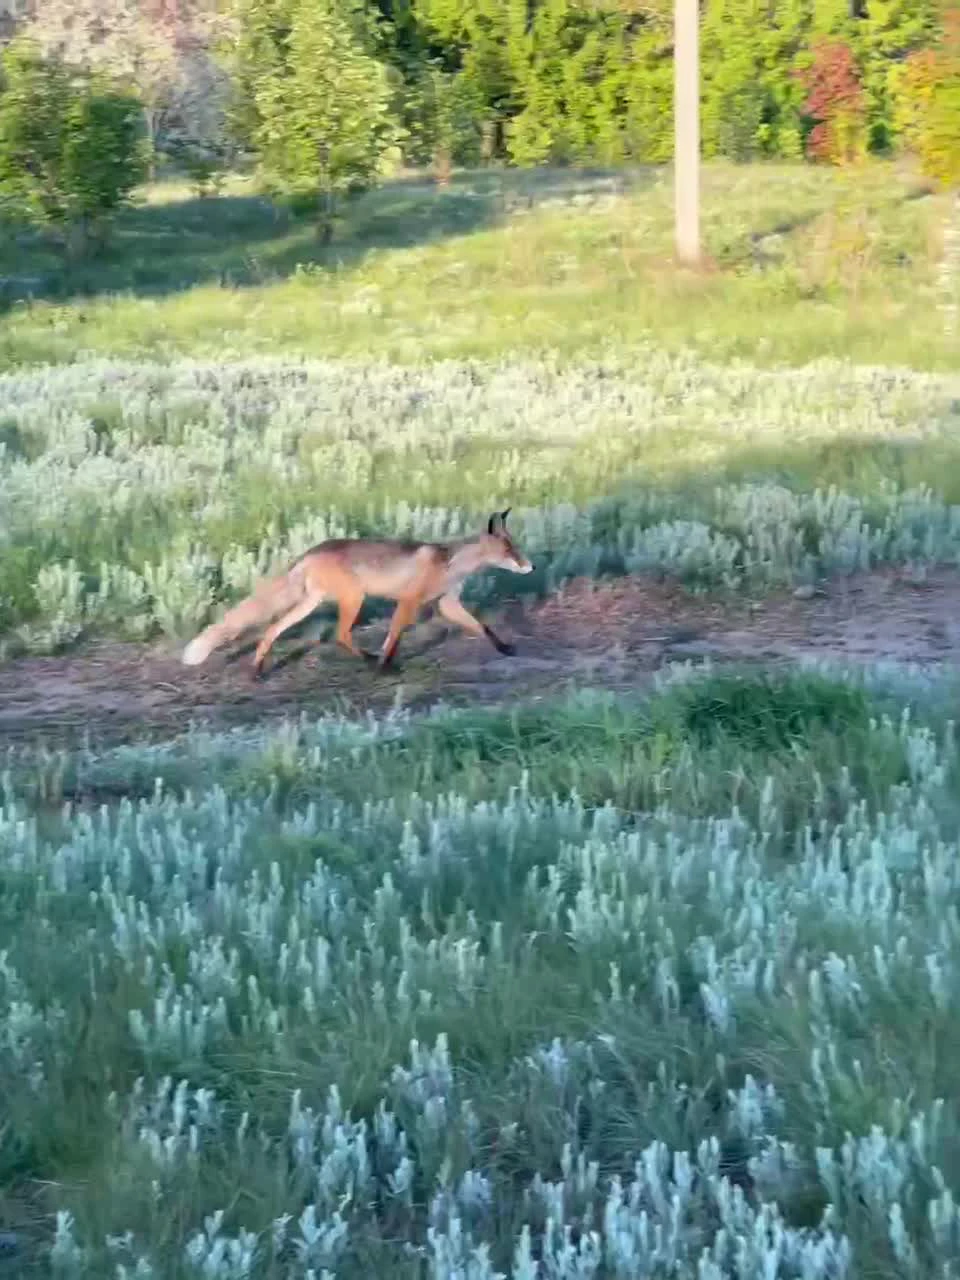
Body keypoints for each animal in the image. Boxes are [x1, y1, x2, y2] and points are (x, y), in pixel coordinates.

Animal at [176, 509, 529, 675]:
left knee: (273, 629)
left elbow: (484, 627)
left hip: (311, 602)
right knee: (341, 635)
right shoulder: (409, 600)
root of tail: (309, 552)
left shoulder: (448, 604)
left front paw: (505, 648)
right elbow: (393, 637)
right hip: (353, 598)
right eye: (509, 550)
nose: (530, 566)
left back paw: (257, 670)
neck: (451, 564)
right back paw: (369, 660)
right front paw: (384, 666)